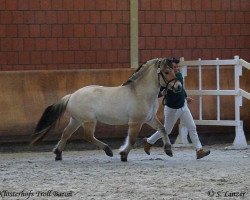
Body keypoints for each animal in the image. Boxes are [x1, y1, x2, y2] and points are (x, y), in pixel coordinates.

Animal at [32, 57, 183, 161]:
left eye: (173, 70)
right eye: (166, 71)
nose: (178, 87)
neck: (141, 93)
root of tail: (71, 96)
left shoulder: (150, 119)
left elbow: (162, 129)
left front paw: (168, 150)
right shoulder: (136, 122)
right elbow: (132, 140)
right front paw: (123, 154)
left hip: (76, 120)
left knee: (66, 133)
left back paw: (58, 154)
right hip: (89, 121)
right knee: (87, 136)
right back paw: (108, 150)